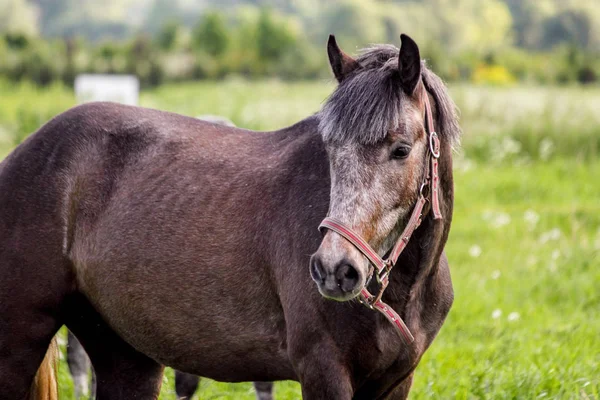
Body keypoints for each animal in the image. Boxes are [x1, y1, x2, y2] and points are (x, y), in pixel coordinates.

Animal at [1, 32, 460, 398]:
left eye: (401, 149)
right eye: (330, 148)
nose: (334, 269)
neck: (405, 291)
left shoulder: (395, 382)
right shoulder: (324, 372)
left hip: (126, 356)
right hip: (18, 344)